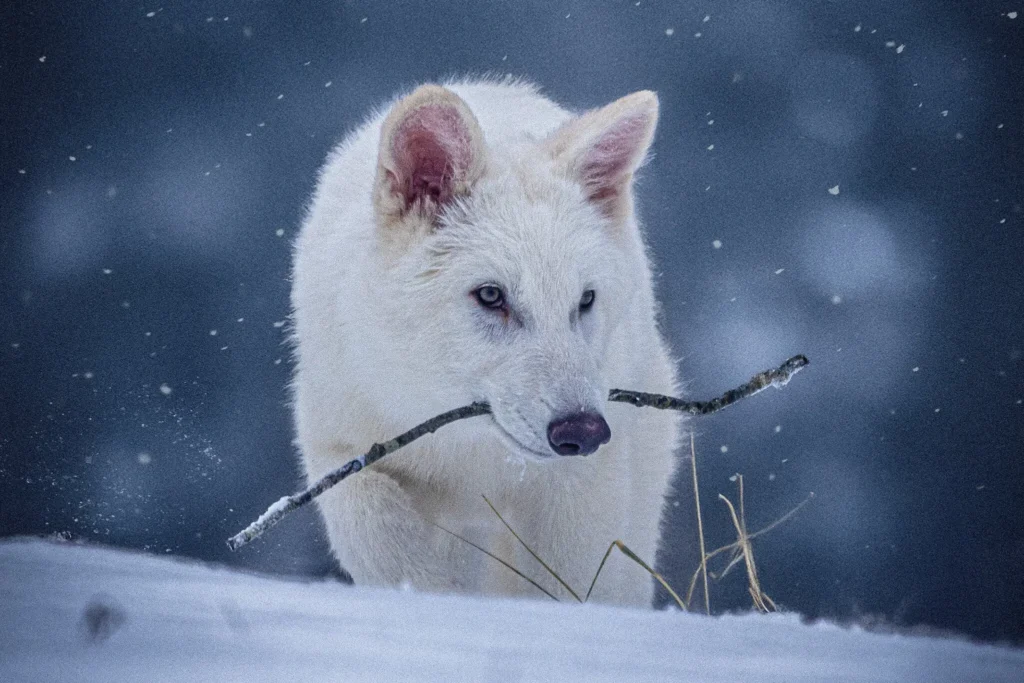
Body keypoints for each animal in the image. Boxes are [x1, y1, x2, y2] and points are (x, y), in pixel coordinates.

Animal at [291, 78, 683, 607]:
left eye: (584, 300)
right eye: (491, 295)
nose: (583, 432)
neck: (469, 449)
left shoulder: (580, 486)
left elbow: (567, 585)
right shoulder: (340, 448)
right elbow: (382, 537)